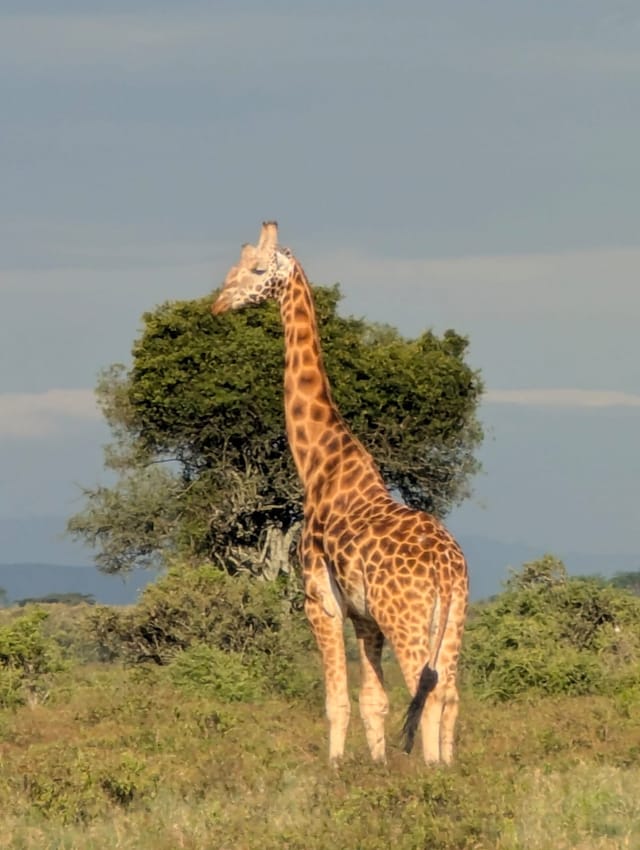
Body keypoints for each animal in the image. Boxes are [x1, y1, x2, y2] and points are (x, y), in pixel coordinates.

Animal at [212, 222, 469, 765]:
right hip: (455, 618)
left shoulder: (320, 600)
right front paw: (378, 766)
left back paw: (432, 773)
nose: (218, 305)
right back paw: (450, 767)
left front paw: (333, 769)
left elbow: (336, 700)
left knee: (429, 689)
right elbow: (374, 699)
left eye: (257, 270)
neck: (320, 465)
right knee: (451, 690)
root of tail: (446, 569)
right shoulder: (364, 616)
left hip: (407, 617)